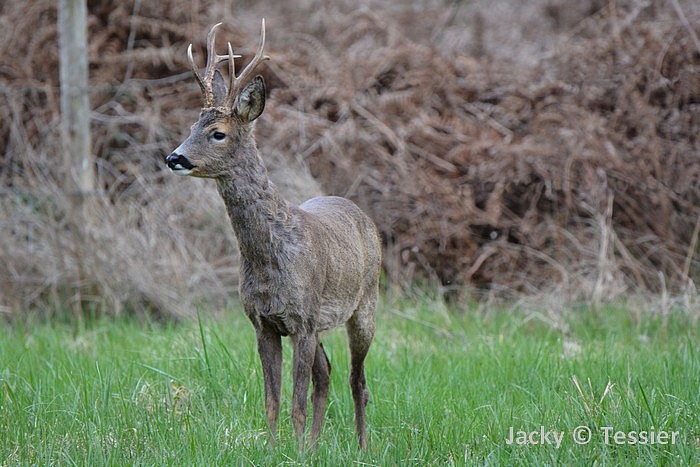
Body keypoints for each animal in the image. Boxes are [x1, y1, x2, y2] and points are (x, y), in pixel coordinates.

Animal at [165, 20, 380, 452]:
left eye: (218, 133)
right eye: (192, 126)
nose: (173, 157)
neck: (269, 258)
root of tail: (363, 215)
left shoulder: (302, 320)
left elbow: (294, 400)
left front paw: (293, 451)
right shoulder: (264, 322)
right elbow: (272, 399)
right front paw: (276, 447)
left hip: (365, 305)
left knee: (358, 380)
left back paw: (363, 447)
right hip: (321, 324)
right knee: (326, 372)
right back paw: (315, 445)